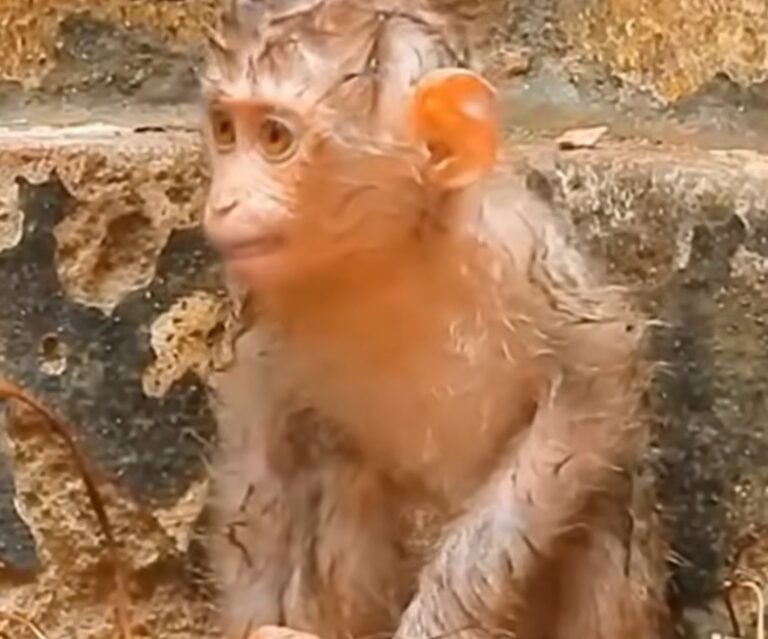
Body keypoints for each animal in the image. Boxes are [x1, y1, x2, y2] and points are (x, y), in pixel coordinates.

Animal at [199, 1, 669, 638]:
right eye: (225, 130)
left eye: (274, 136)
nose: (223, 202)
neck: (382, 258)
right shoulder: (261, 302)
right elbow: (259, 465)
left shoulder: (513, 253)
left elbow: (597, 378)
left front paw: (443, 612)